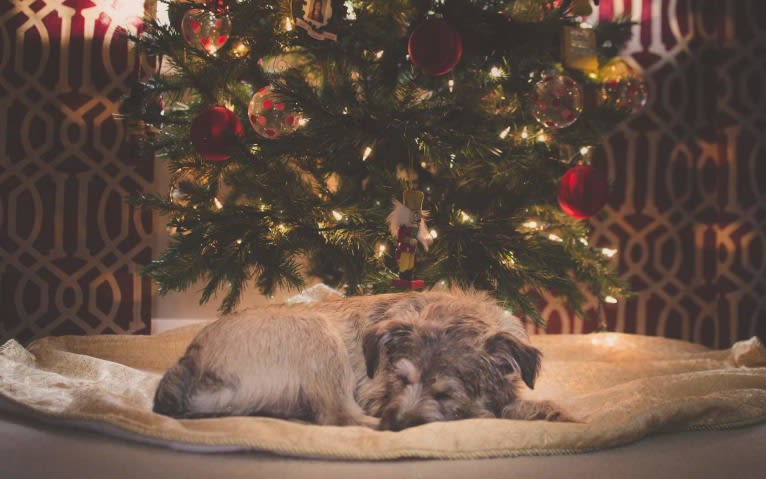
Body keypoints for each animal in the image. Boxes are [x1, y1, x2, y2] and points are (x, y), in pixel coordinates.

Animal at [153, 288, 572, 432]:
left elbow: (514, 400)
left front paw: (543, 409)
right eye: (400, 380)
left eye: (446, 393)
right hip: (317, 333)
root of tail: (187, 366)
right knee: (338, 416)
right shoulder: (374, 394)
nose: (398, 424)